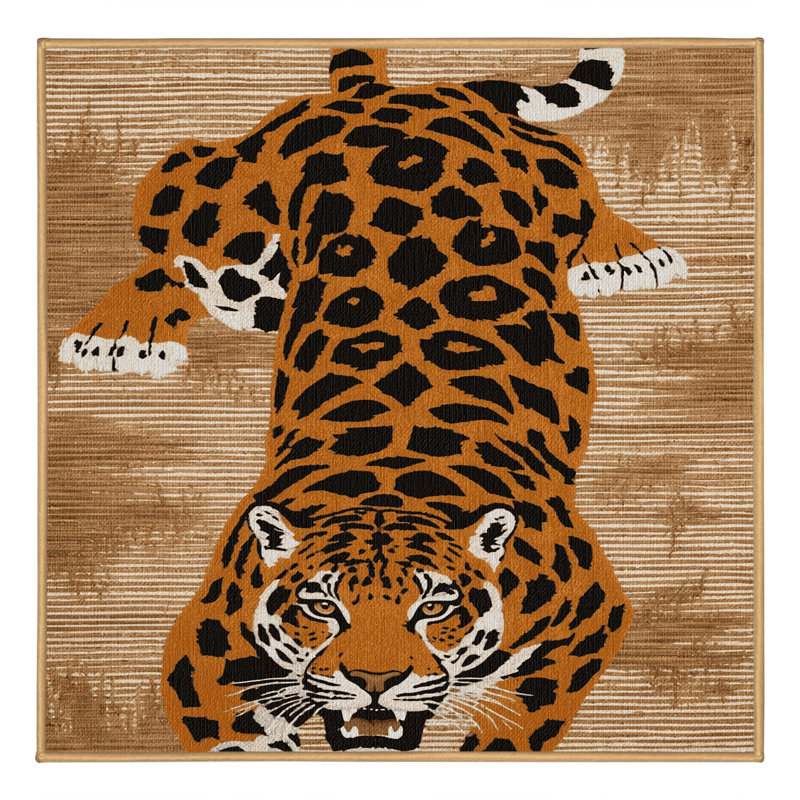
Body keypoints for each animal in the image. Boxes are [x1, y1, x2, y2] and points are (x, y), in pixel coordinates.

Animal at [58, 47, 687, 752]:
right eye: (321, 607)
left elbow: (521, 721)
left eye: (434, 608)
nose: (375, 681)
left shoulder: (591, 607)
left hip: (544, 178)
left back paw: (623, 255)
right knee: (179, 239)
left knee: (571, 169)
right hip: (221, 221)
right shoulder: (202, 648)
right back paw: (118, 334)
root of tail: (385, 93)